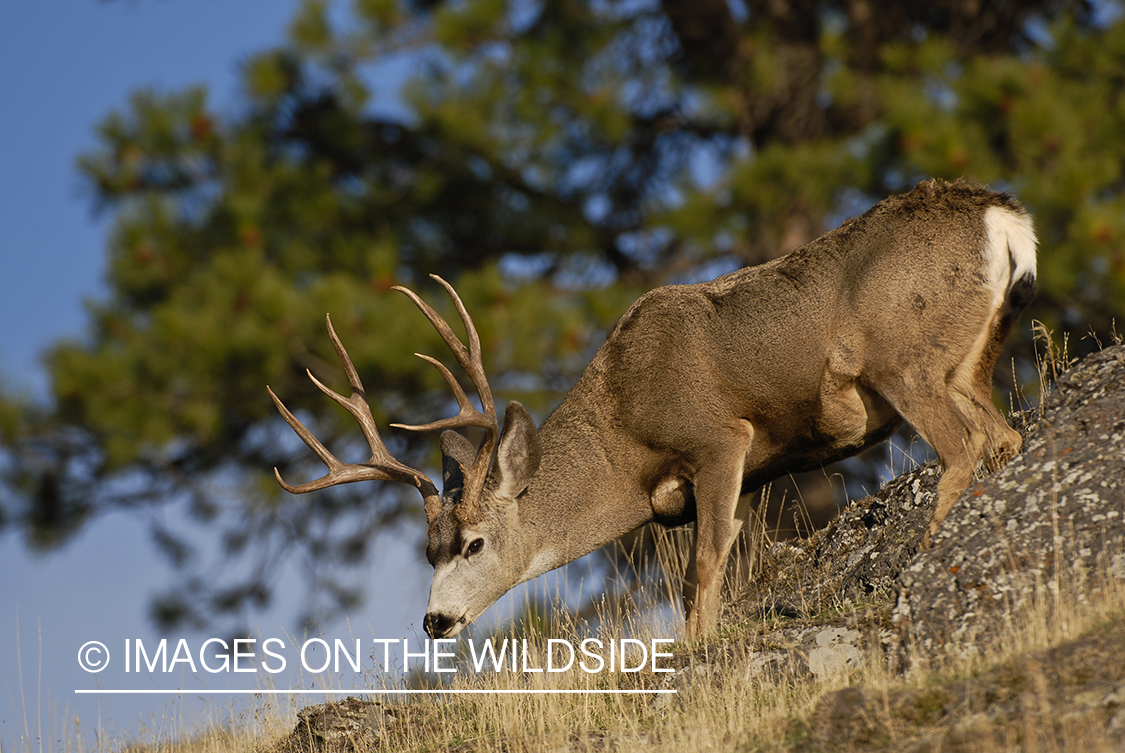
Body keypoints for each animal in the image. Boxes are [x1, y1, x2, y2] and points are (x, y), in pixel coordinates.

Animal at [267, 179, 1037, 641]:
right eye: (427, 549)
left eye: (474, 543)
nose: (434, 621)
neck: (623, 433)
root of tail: (1001, 215)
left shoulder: (718, 439)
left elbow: (705, 565)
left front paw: (697, 651)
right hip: (968, 361)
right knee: (1003, 437)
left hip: (903, 361)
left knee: (962, 448)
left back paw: (925, 561)